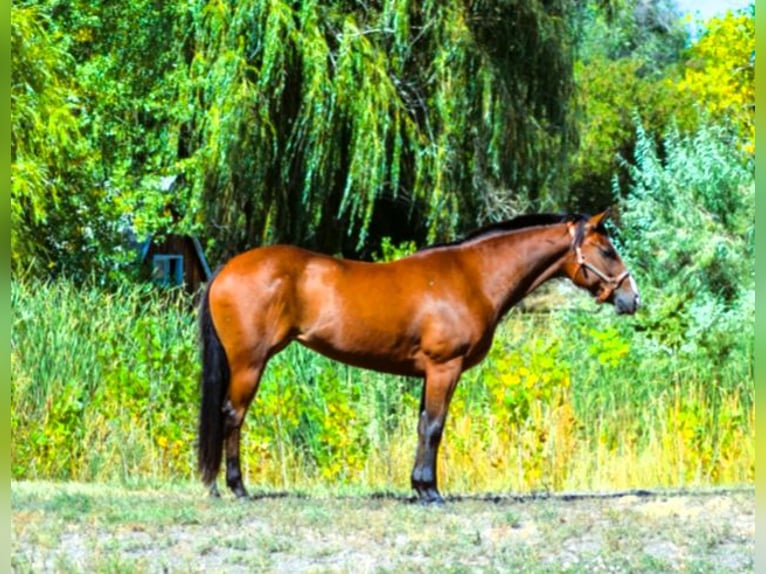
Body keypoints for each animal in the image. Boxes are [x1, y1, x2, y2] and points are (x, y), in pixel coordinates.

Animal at [198, 212, 640, 504]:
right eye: (607, 250)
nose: (632, 298)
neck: (473, 276)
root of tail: (227, 269)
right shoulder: (445, 367)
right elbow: (434, 427)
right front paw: (430, 491)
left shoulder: (429, 373)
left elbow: (422, 425)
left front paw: (419, 486)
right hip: (250, 363)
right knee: (233, 415)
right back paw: (234, 487)